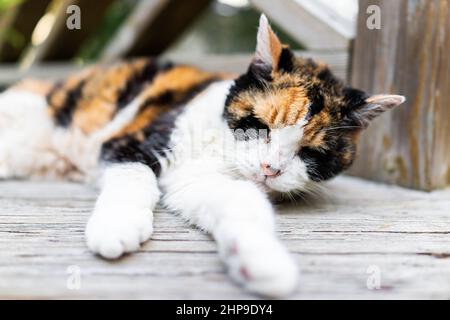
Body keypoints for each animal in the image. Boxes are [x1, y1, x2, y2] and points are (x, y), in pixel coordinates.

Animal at [0, 15, 404, 298]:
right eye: (260, 126)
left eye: (311, 152)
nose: (270, 168)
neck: (217, 145)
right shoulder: (131, 142)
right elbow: (135, 178)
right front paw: (117, 227)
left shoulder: (195, 182)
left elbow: (241, 200)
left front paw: (260, 260)